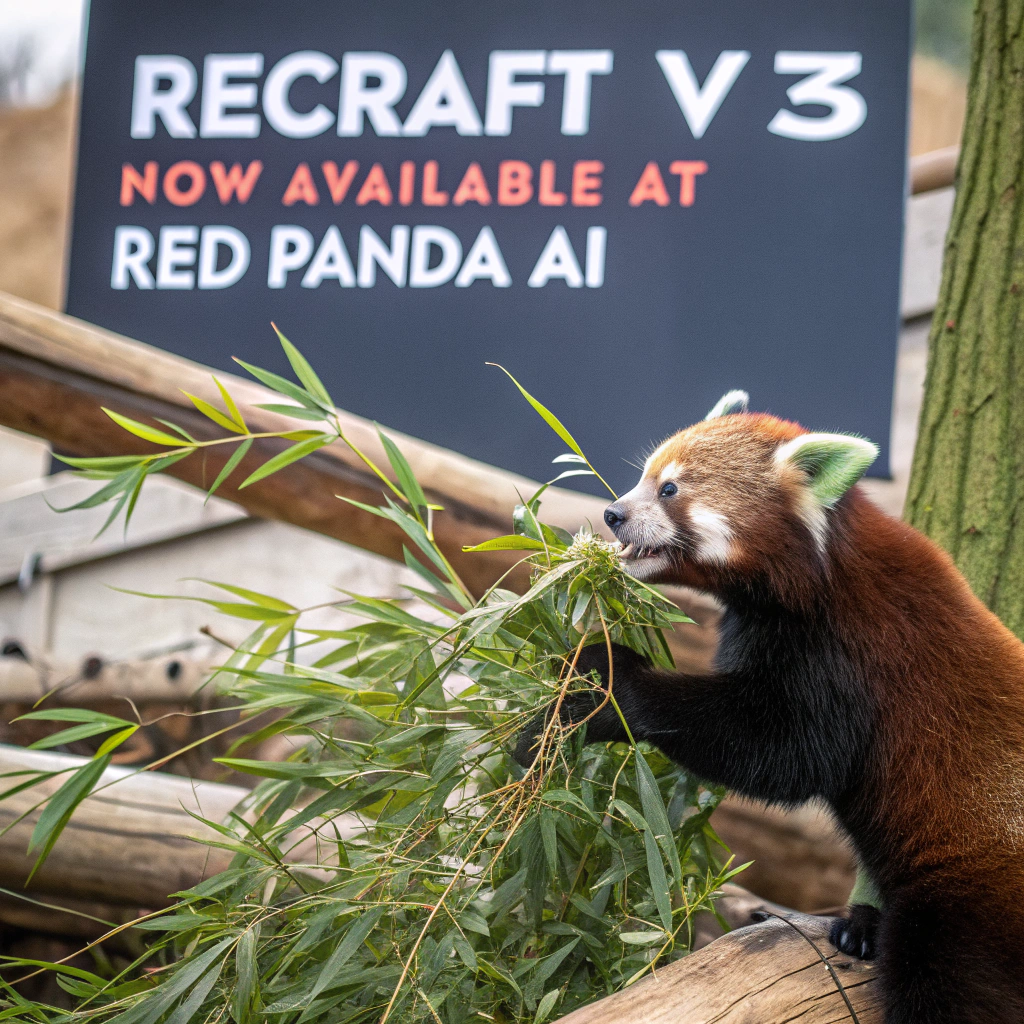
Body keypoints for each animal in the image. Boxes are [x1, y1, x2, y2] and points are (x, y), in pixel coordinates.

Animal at [516, 391, 1024, 1024]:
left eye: (669, 490)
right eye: (643, 478)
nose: (612, 514)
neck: (817, 574)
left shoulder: (848, 658)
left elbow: (784, 754)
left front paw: (609, 690)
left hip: (974, 895)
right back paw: (863, 921)